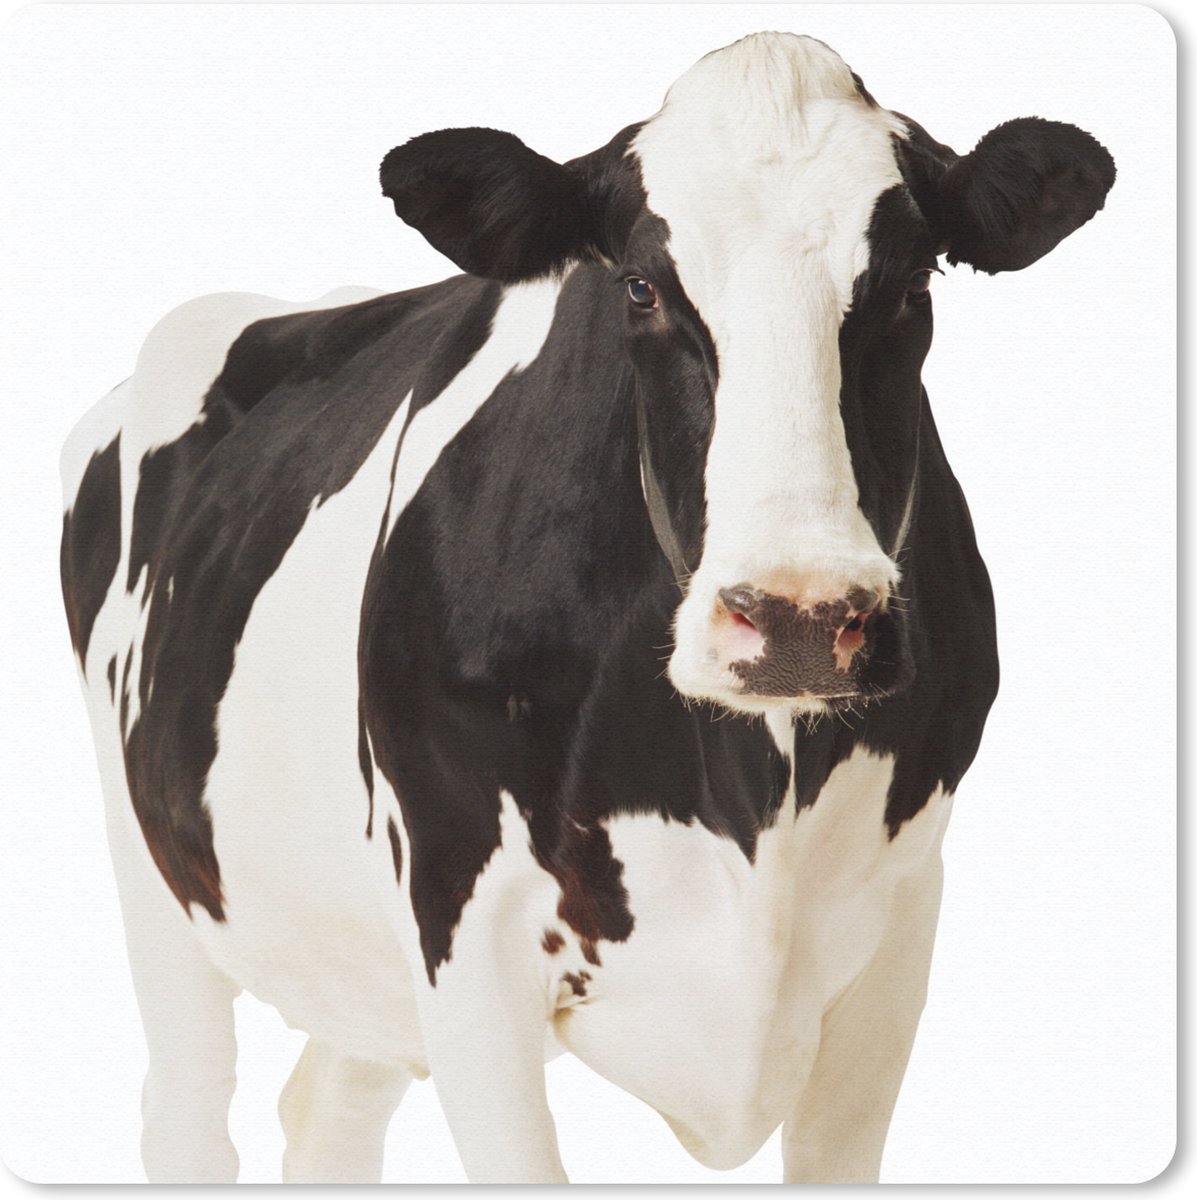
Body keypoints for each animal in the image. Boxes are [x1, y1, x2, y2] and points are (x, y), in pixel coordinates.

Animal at [59, 32, 1114, 1184]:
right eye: (642, 287)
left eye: (913, 281)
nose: (796, 618)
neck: (751, 790)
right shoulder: (462, 931)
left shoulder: (899, 933)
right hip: (152, 867)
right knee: (187, 1113)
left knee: (328, 1106)